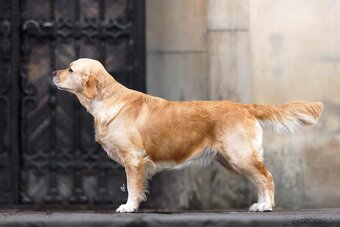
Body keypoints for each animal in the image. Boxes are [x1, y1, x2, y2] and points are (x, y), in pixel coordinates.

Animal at [51, 57, 322, 212]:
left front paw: (128, 207)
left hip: (240, 155)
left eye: (70, 69)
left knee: (267, 177)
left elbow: (132, 187)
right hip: (231, 160)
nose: (53, 73)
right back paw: (260, 204)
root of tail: (245, 106)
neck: (107, 99)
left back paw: (266, 206)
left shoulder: (133, 159)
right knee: (259, 179)